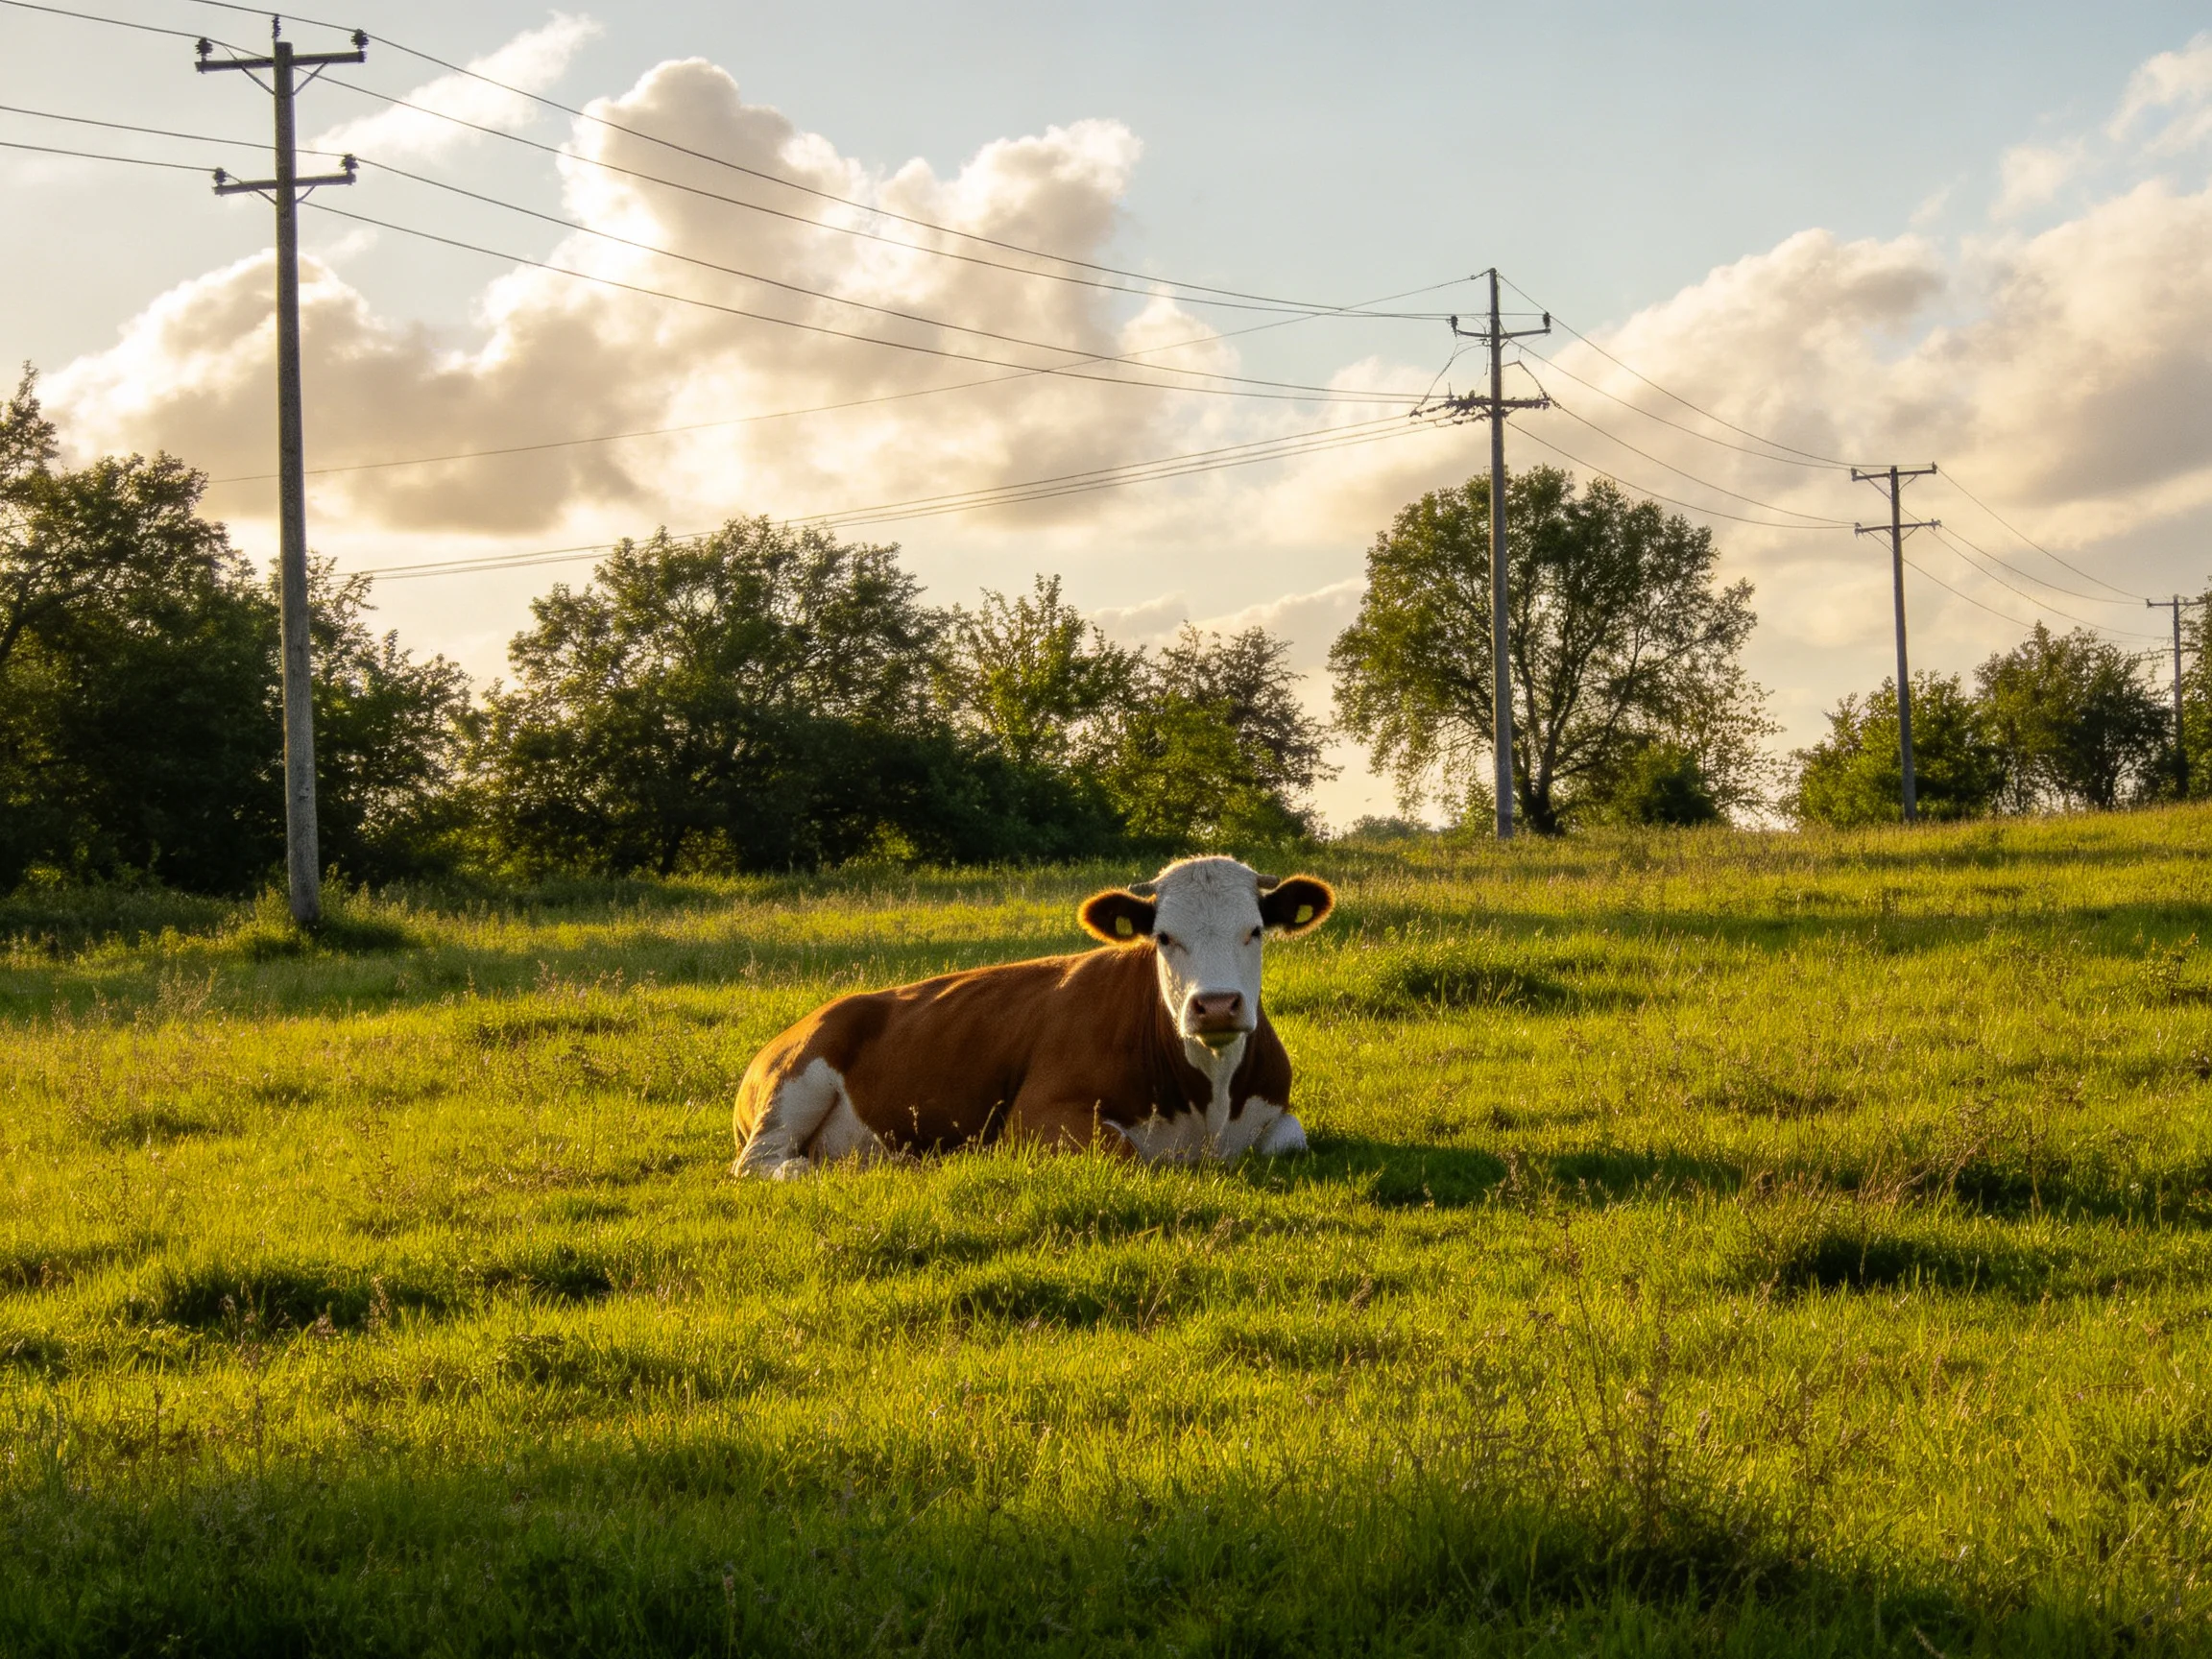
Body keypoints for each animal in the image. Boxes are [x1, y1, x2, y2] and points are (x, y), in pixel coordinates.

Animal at [731, 856, 1335, 1178]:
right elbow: (1128, 1152)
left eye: (1254, 931)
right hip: (793, 1089)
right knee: (766, 1161)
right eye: (1164, 938)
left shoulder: (1276, 1114)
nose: (1215, 1005)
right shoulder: (1034, 1115)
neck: (1207, 1103)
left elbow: (1290, 1139)